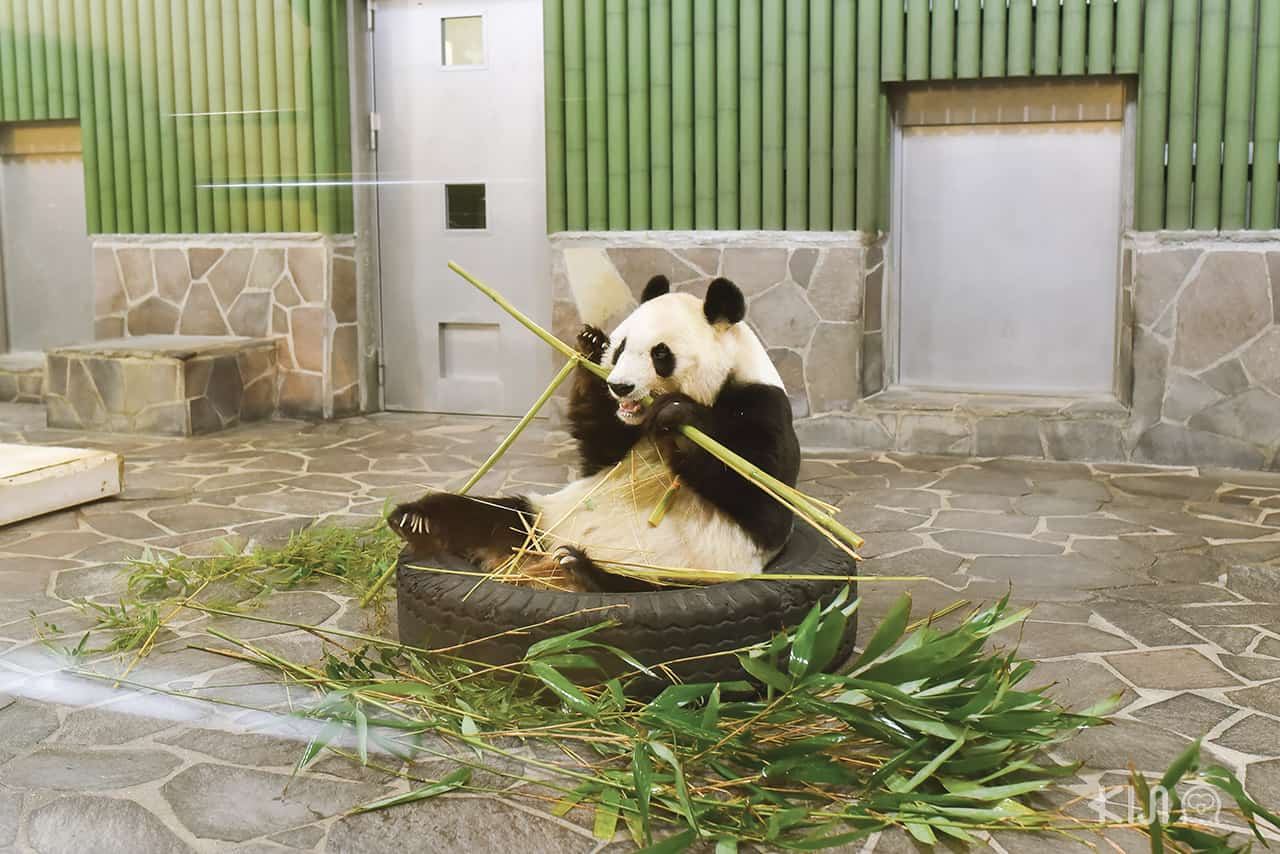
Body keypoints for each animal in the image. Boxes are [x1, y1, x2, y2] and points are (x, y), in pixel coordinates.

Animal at [388, 274, 801, 593]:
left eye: (660, 354)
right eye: (619, 349)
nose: (620, 387)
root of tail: (528, 566)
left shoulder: (763, 405)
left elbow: (763, 500)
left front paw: (679, 416)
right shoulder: (618, 437)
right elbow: (600, 443)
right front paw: (588, 344)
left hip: (688, 570)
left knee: (638, 589)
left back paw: (581, 571)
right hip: (544, 520)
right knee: (489, 514)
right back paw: (415, 519)